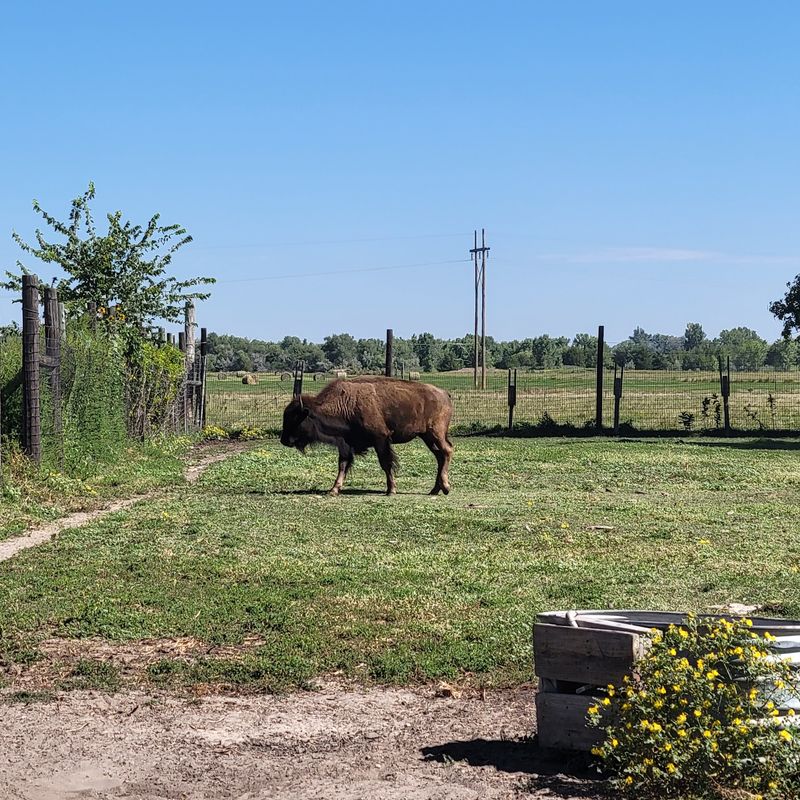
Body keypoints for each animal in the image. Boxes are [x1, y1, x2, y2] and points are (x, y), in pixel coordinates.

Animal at [280, 376, 453, 496]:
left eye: (296, 418)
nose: (283, 440)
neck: (346, 403)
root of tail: (444, 393)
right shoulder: (345, 444)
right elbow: (342, 465)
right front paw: (334, 489)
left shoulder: (381, 439)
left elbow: (386, 463)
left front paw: (391, 490)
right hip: (427, 437)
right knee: (439, 456)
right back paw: (435, 489)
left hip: (435, 433)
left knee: (446, 451)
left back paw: (445, 487)